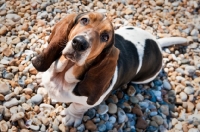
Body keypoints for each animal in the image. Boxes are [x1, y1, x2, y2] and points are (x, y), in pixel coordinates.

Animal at [31, 12, 188, 127]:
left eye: (105, 37)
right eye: (84, 20)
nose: (79, 43)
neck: (64, 75)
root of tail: (157, 42)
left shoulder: (88, 102)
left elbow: (77, 107)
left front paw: (72, 117)